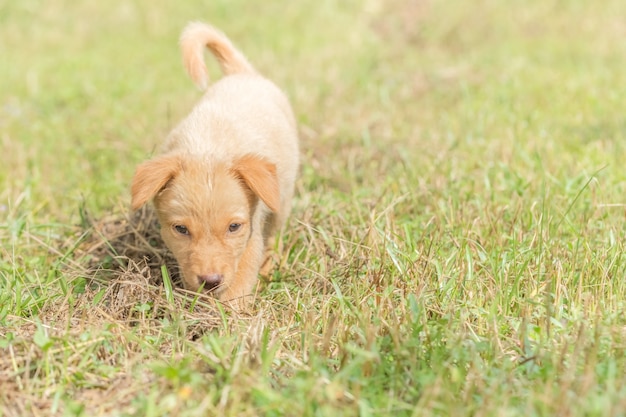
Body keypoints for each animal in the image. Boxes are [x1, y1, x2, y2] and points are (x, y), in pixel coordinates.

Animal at [129, 22, 298, 308]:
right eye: (181, 229)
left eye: (234, 227)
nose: (210, 281)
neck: (208, 149)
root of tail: (242, 73)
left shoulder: (251, 234)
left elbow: (238, 285)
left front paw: (226, 314)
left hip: (281, 199)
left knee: (275, 233)